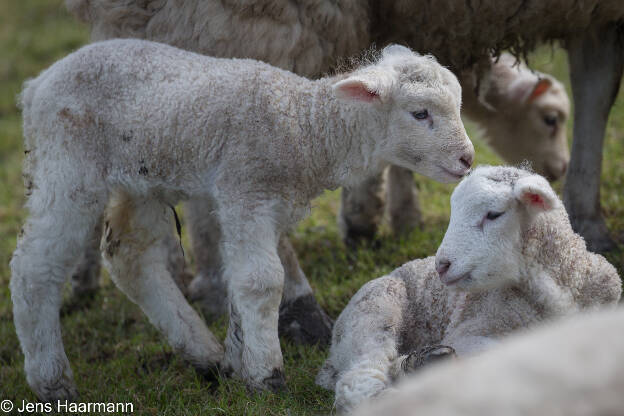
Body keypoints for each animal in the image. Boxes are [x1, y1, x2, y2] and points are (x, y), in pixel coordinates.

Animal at [11, 39, 472, 400]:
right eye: (420, 114)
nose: (467, 159)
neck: (304, 127)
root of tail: (36, 86)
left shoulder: (256, 204)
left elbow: (240, 281)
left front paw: (240, 366)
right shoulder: (247, 191)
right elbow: (262, 282)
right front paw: (268, 376)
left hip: (142, 179)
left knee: (130, 257)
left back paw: (206, 357)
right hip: (68, 163)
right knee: (35, 266)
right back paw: (52, 381)